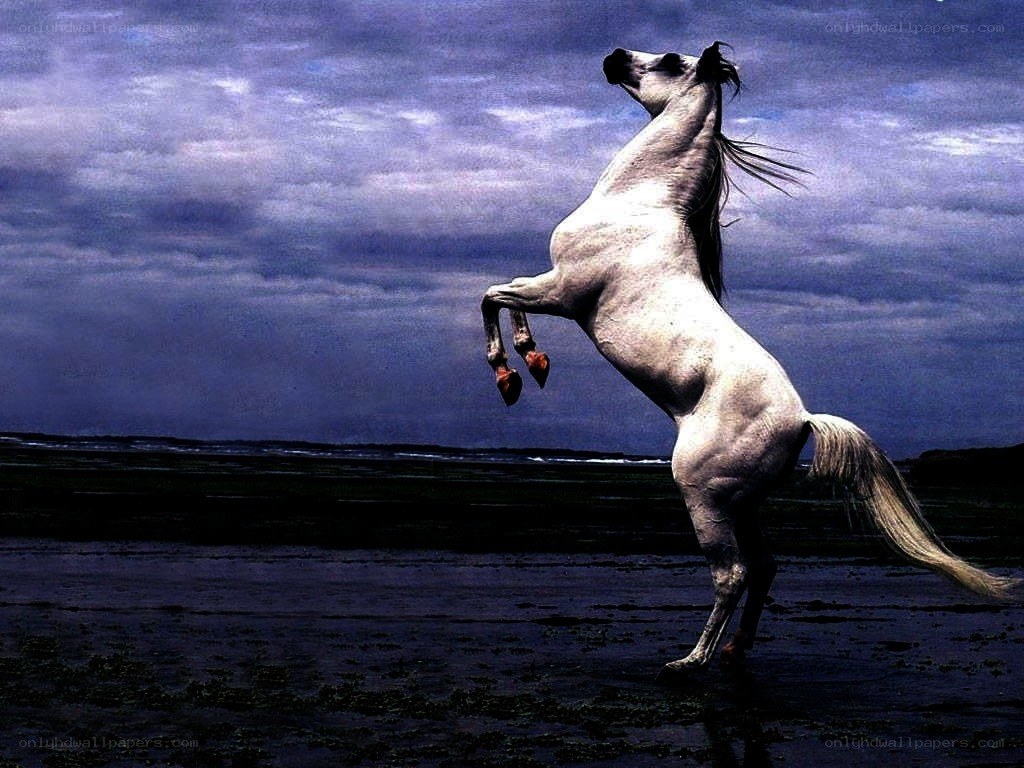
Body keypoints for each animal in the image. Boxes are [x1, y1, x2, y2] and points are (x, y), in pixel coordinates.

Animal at [481, 42, 1020, 677]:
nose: (614, 56)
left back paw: (690, 662)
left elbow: (493, 295)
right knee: (764, 567)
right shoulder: (553, 289)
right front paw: (530, 367)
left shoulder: (563, 292)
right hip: (743, 505)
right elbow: (501, 294)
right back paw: (735, 651)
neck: (638, 205)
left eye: (670, 60)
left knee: (732, 574)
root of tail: (803, 420)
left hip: (704, 497)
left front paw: (515, 370)